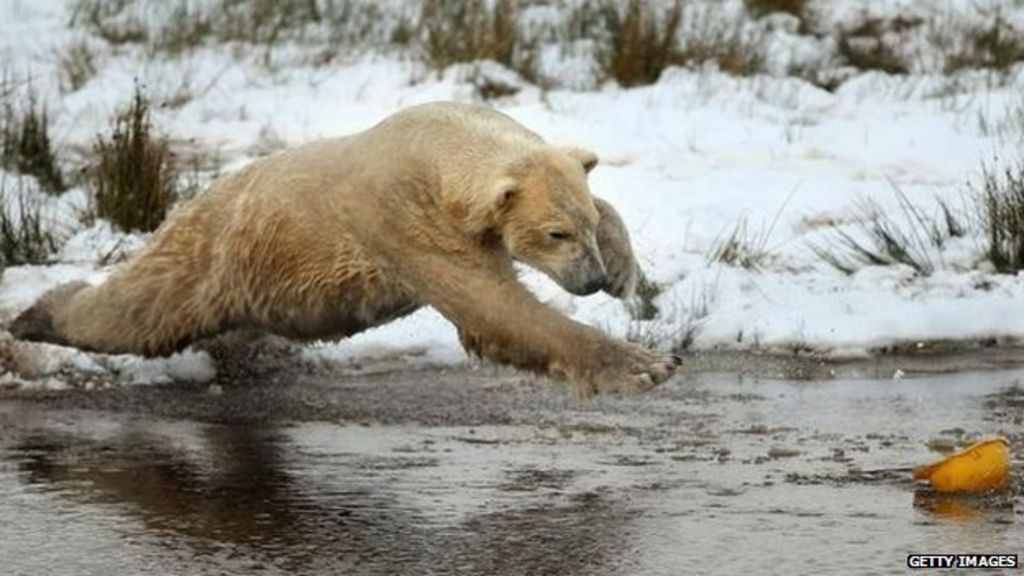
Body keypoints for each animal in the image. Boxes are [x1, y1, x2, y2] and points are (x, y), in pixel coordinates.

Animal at [10, 102, 679, 396]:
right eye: (554, 233)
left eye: (582, 225)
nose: (590, 281)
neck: (435, 141)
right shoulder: (403, 219)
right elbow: (494, 309)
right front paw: (646, 364)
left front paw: (626, 269)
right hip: (206, 254)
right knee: (136, 312)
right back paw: (33, 314)